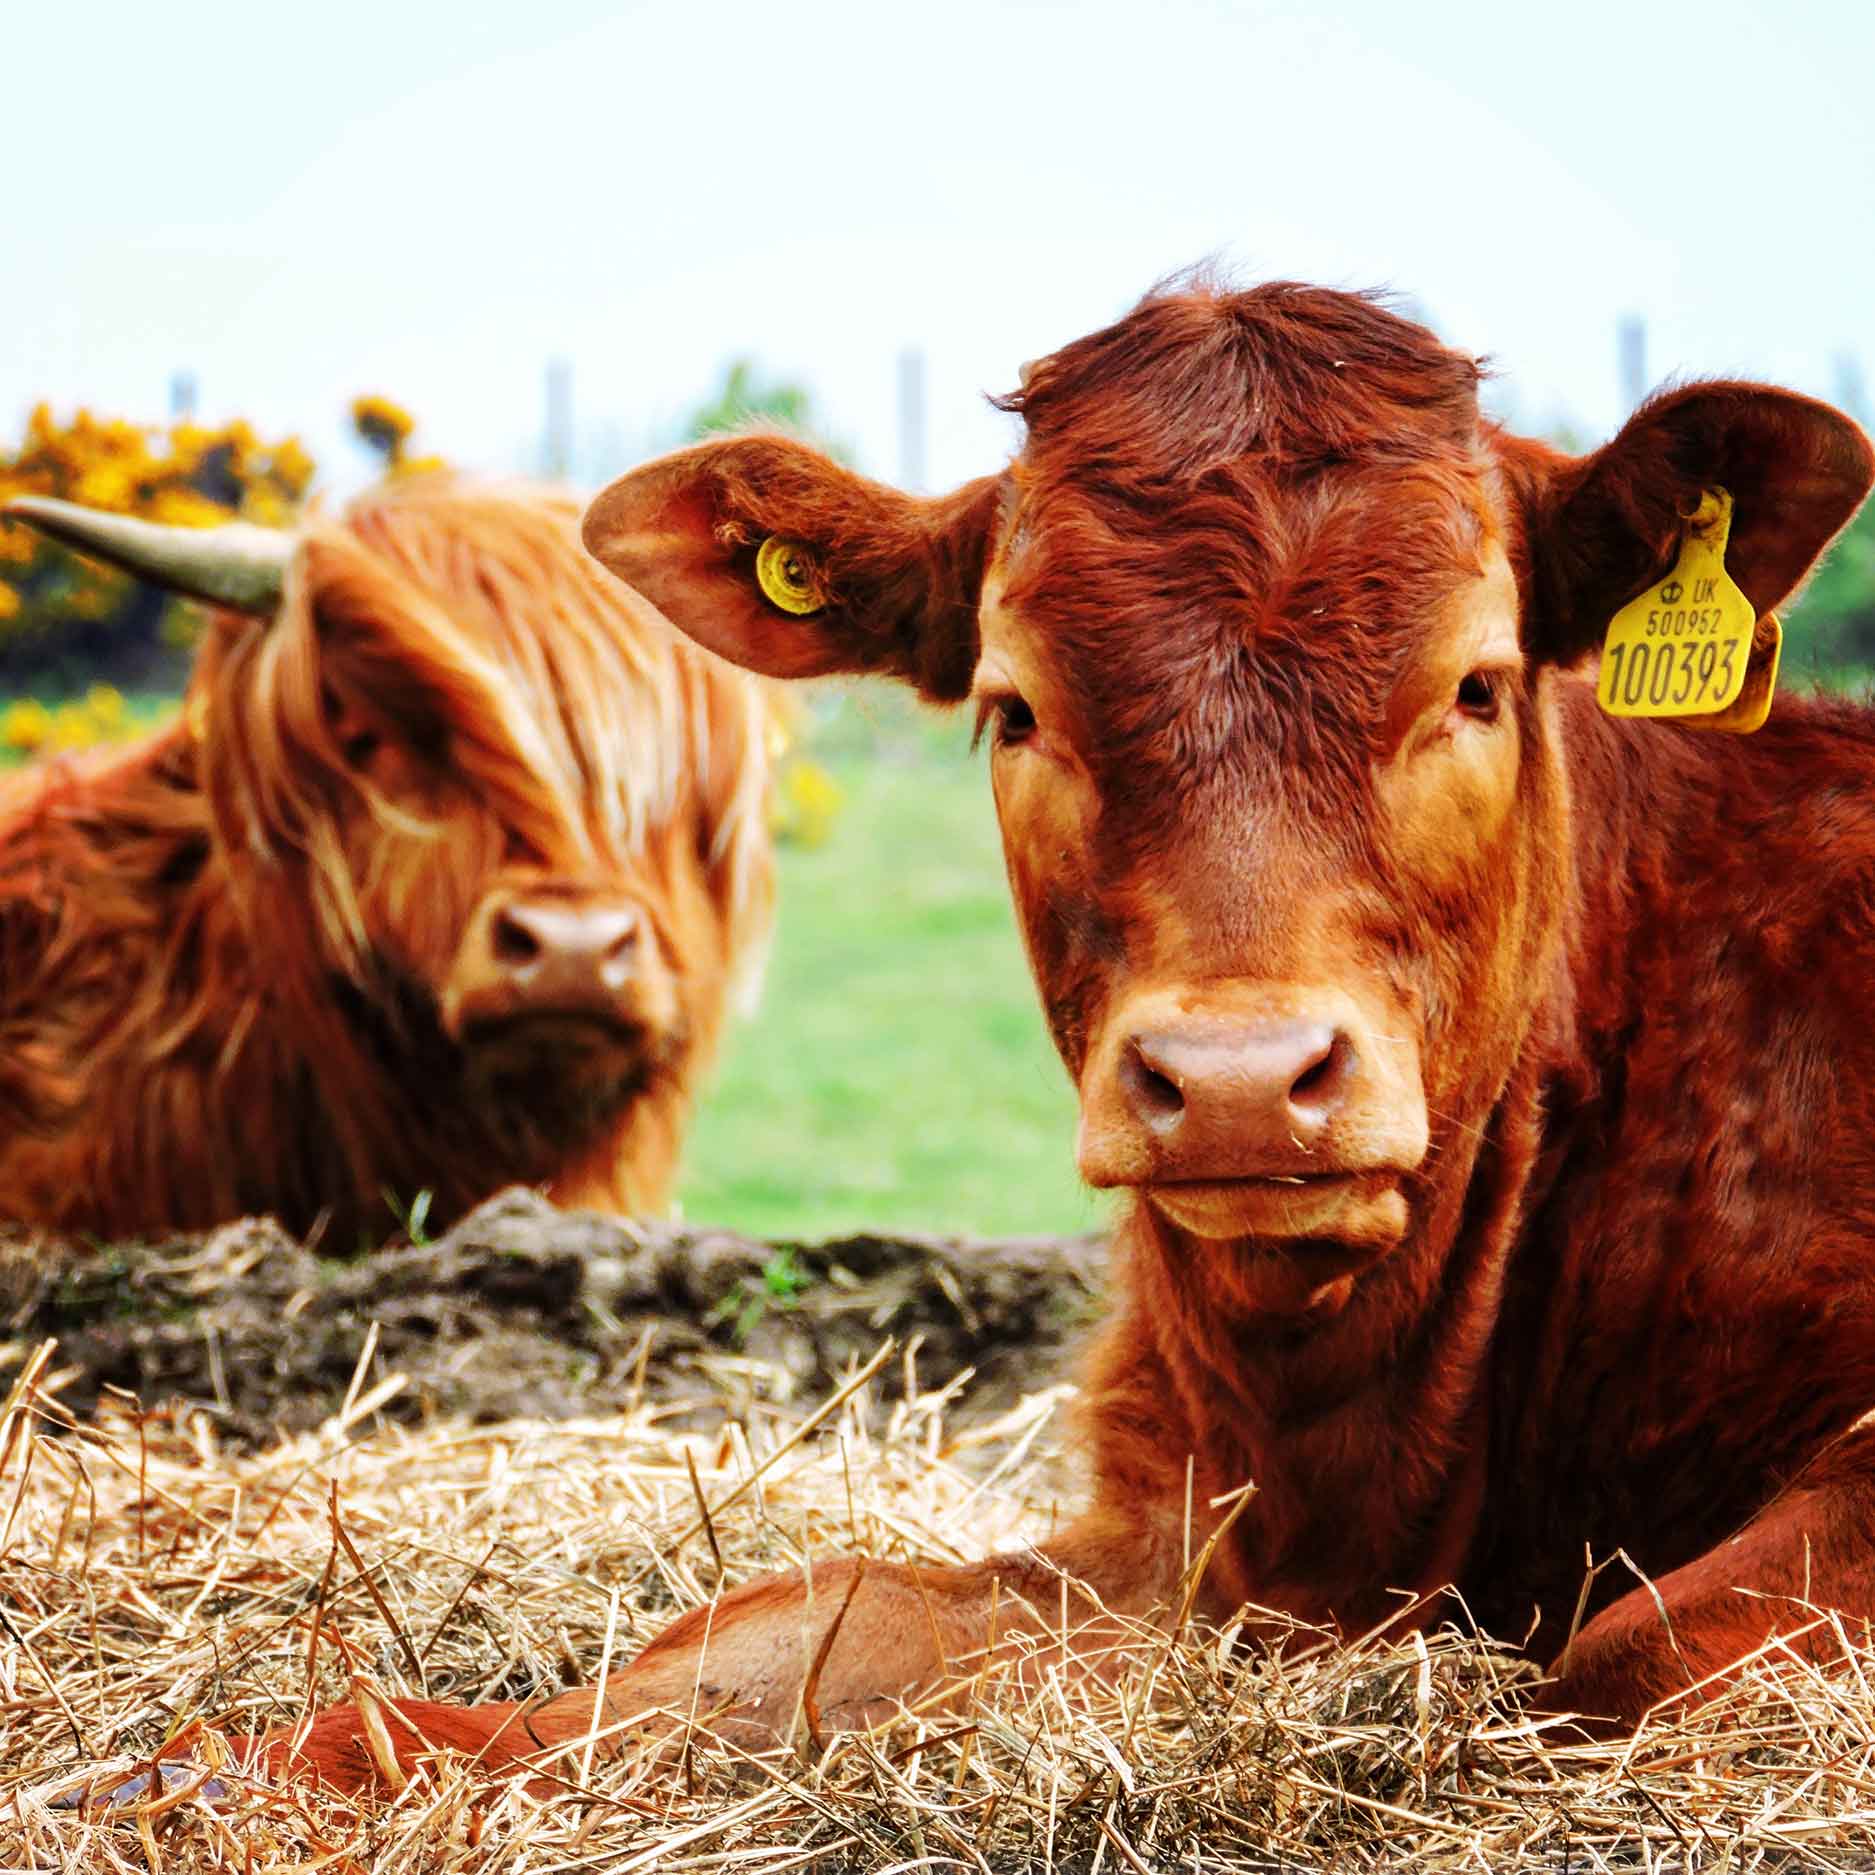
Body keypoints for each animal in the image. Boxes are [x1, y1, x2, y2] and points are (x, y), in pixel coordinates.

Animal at [139, 280, 1875, 1792]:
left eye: (1475, 683)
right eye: (1013, 706)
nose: (1237, 1086)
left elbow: (1618, 1656)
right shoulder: (1179, 1531)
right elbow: (785, 1625)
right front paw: (272, 1758)